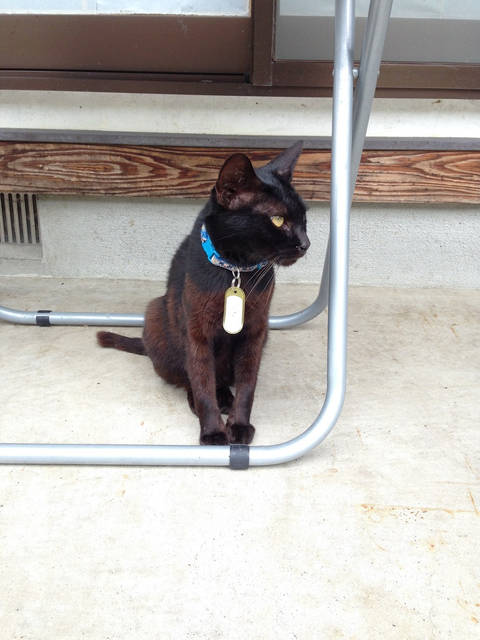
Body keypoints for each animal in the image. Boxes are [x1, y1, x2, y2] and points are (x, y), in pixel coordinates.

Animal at [97, 141, 310, 446]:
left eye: (304, 218)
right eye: (278, 219)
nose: (306, 243)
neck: (236, 270)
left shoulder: (256, 330)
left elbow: (247, 384)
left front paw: (239, 426)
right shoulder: (197, 331)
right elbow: (201, 383)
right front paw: (213, 432)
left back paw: (226, 398)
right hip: (157, 313)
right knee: (190, 377)